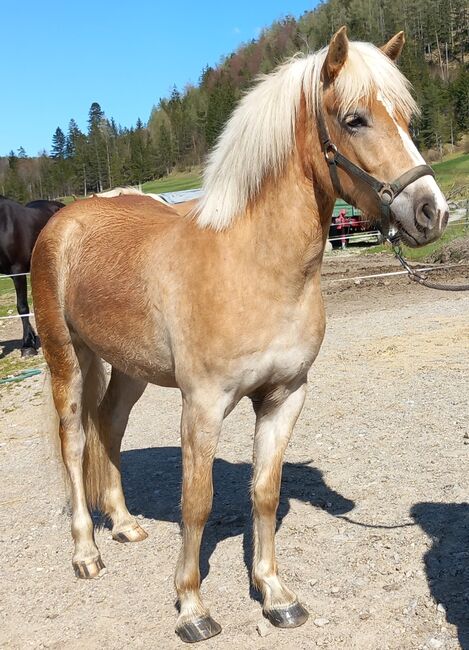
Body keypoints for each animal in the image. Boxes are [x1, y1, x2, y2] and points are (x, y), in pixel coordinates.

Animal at [31, 27, 448, 640]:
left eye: (407, 116)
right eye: (354, 120)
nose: (430, 212)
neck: (253, 266)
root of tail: (64, 219)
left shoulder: (284, 396)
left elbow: (265, 494)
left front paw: (275, 594)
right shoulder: (203, 405)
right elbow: (197, 502)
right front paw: (191, 608)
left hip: (130, 369)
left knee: (108, 426)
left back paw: (126, 524)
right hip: (67, 357)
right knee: (74, 441)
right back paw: (86, 552)